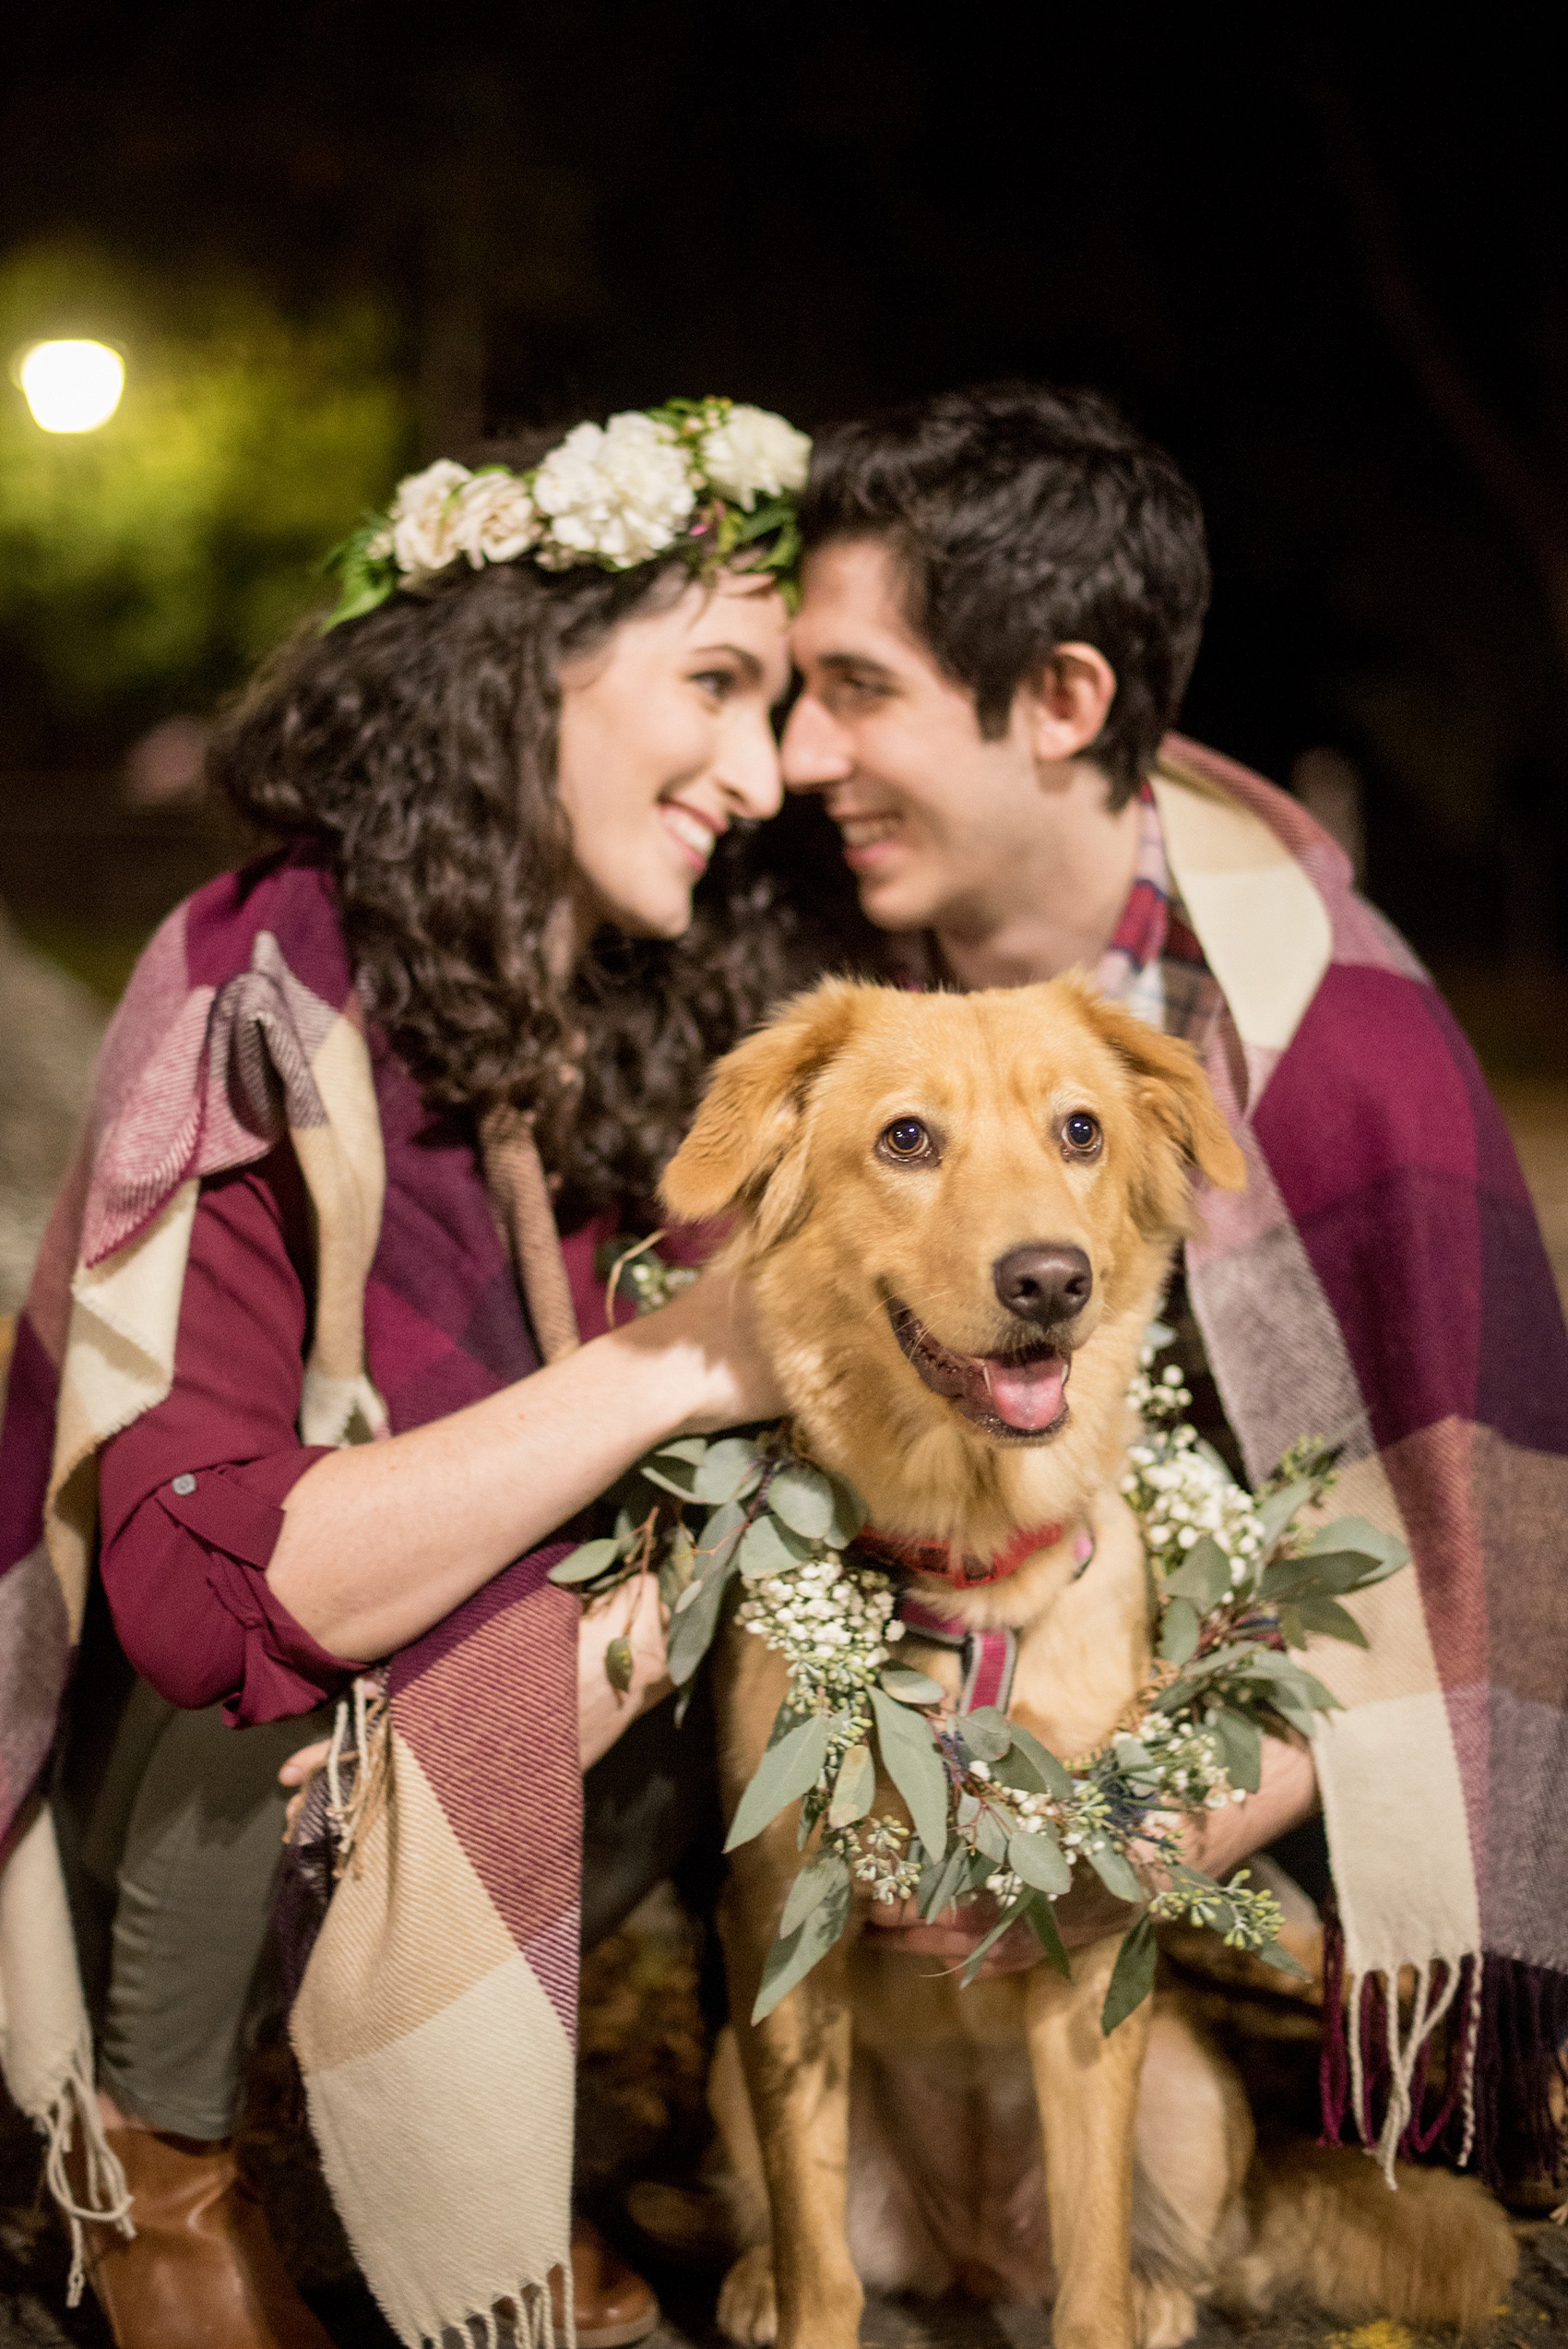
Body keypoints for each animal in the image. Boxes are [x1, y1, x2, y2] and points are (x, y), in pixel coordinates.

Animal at [666, 972, 1521, 2349]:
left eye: (1079, 1130)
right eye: (906, 1138)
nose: (1048, 1280)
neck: (969, 1583)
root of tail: (965, 2257)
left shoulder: (1083, 1931)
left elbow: (1089, 2264)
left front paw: (1119, 2298)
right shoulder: (779, 1938)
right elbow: (823, 2271)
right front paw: (794, 2299)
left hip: (1180, 2079)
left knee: (1189, 2247)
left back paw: (1170, 2292)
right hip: (732, 2081)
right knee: (802, 2231)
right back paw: (752, 2281)